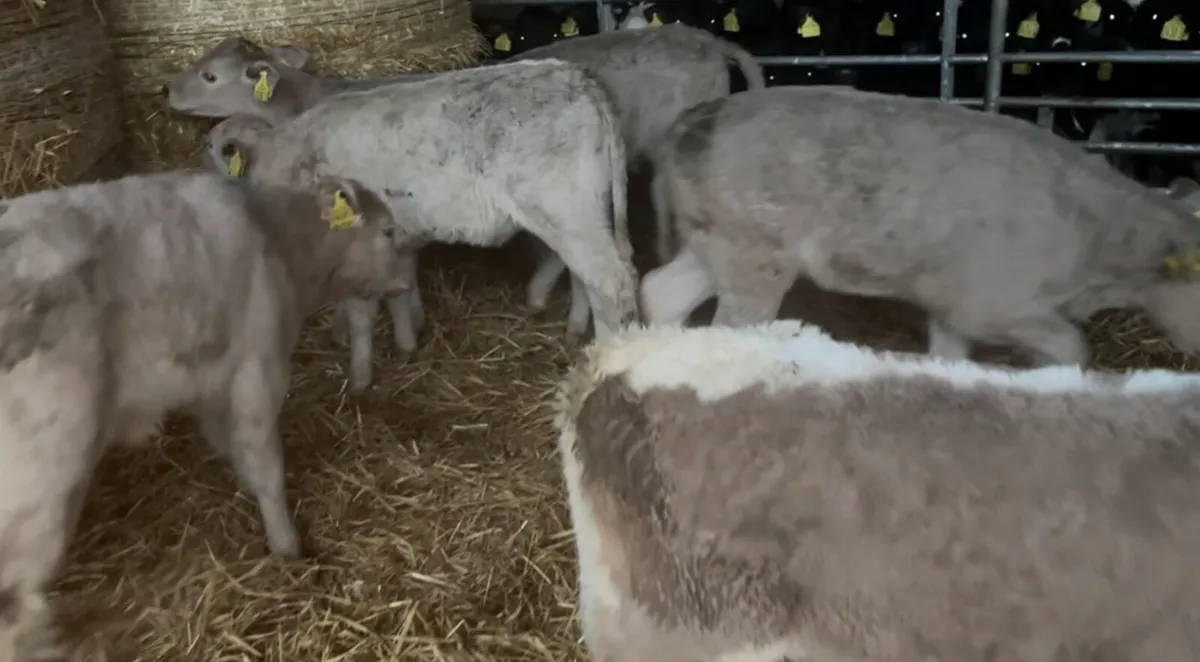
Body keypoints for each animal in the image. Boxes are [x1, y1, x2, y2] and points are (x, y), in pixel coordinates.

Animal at [0, 171, 410, 662]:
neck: (280, 242)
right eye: (388, 232)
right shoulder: (258, 368)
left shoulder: (212, 385)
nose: (407, 282)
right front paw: (287, 546)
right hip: (39, 477)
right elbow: (267, 468)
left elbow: (234, 448)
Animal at [197, 59, 639, 389]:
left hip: (565, 213)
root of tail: (575, 74)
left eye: (214, 149)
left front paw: (360, 377)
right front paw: (406, 340)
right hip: (583, 215)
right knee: (590, 277)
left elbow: (362, 312)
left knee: (610, 285)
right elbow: (399, 289)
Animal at [642, 85, 1200, 368]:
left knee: (661, 291)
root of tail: (699, 115)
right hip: (755, 257)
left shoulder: (950, 308)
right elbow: (1073, 349)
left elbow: (949, 359)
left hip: (717, 244)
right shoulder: (991, 304)